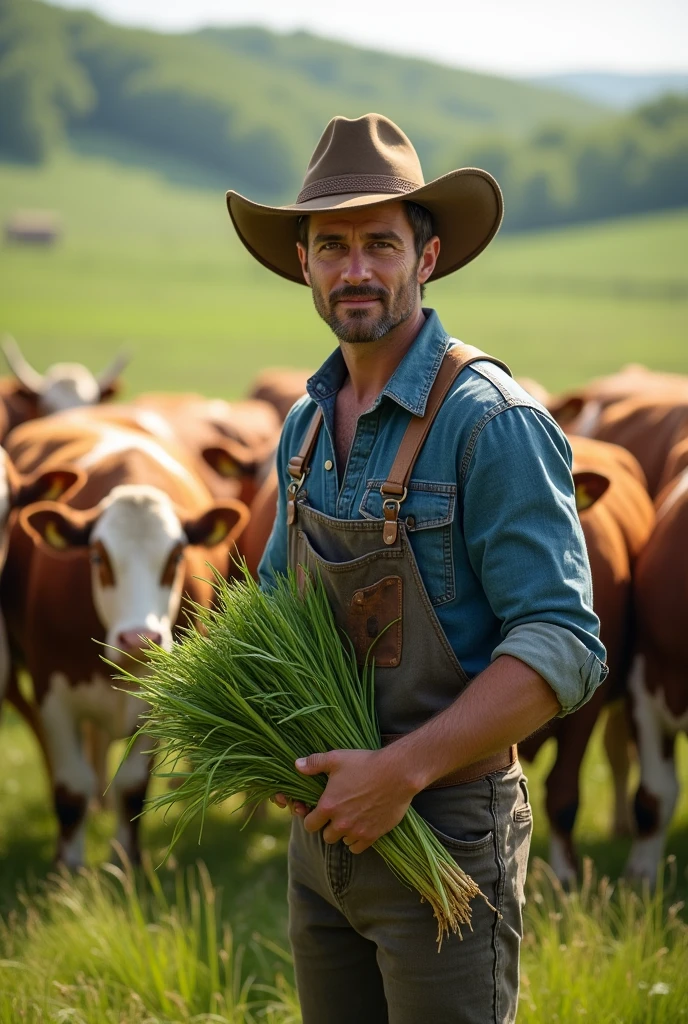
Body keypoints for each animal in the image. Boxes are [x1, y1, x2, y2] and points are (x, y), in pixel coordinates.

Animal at [2, 415, 249, 864]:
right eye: (98, 557)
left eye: (176, 557)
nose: (139, 637)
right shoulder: (52, 694)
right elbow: (71, 790)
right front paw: (68, 870)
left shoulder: (162, 698)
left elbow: (132, 787)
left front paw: (127, 865)